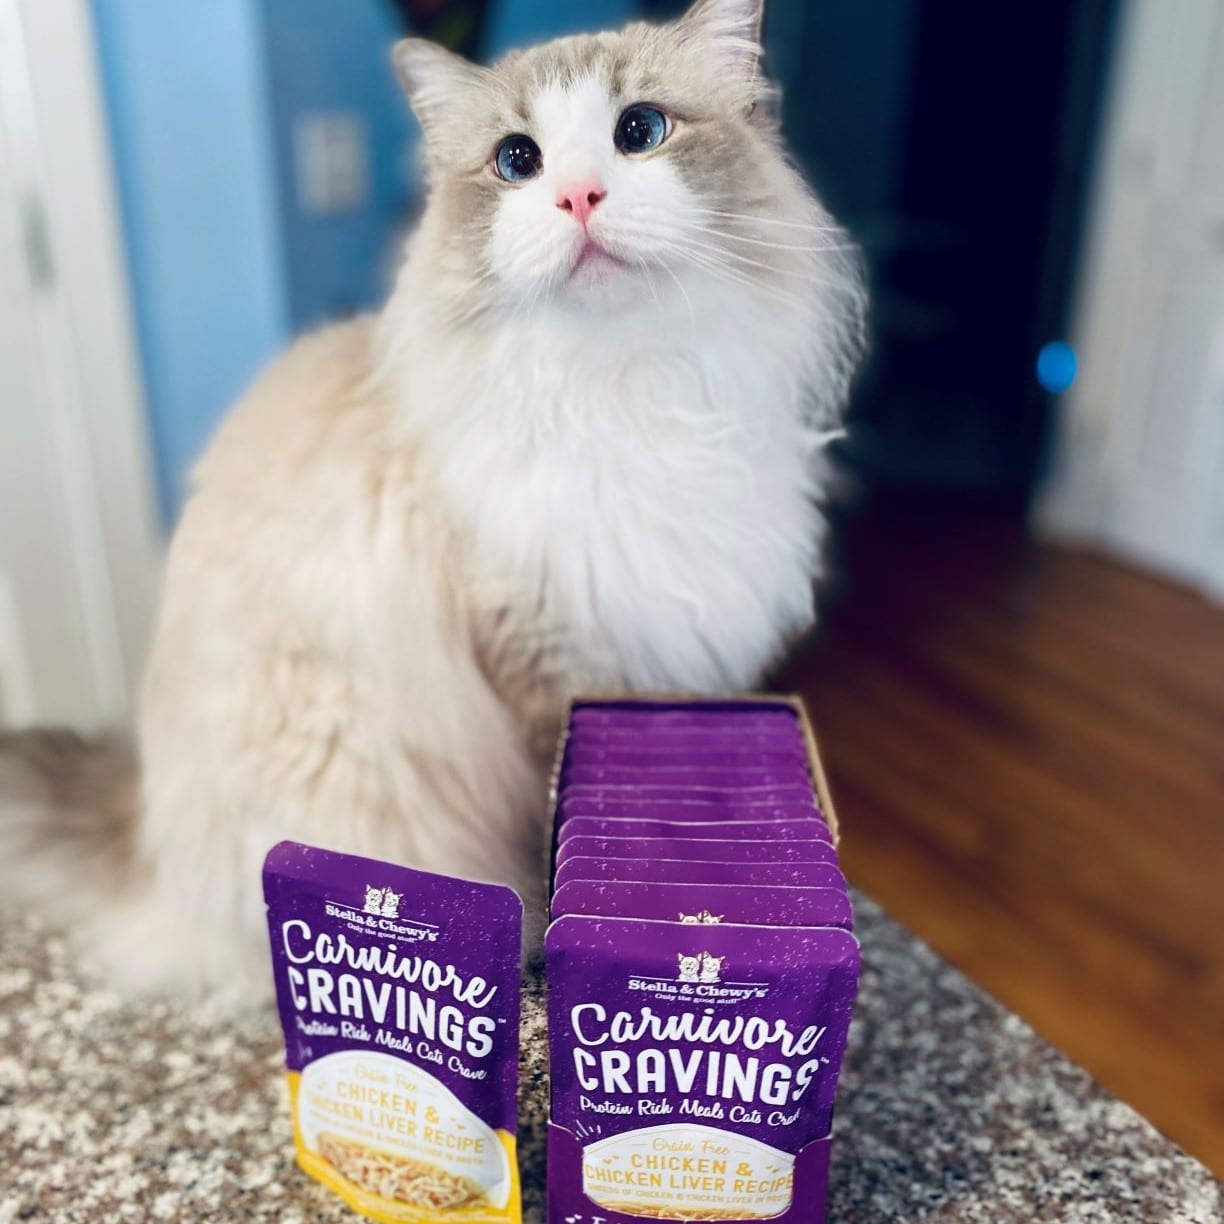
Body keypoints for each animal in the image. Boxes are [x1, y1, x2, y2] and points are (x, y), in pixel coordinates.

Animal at [0, 0, 866, 1003]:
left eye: (640, 131)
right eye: (518, 161)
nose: (579, 197)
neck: (626, 389)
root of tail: (138, 833)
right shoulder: (544, 668)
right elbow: (552, 842)